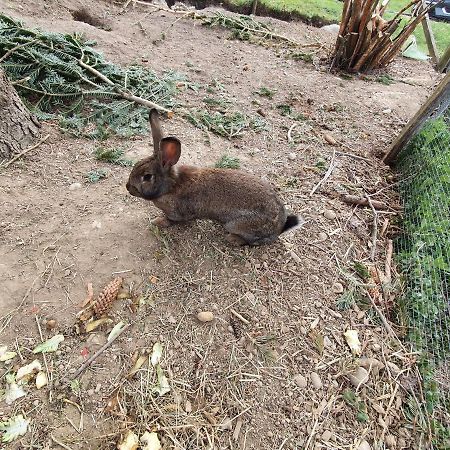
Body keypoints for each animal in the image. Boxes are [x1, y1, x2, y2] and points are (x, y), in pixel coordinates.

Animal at [125, 110, 302, 248]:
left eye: (147, 176)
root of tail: (280, 227)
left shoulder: (178, 213)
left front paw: (157, 222)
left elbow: (172, 220)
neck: (170, 186)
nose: (128, 187)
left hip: (237, 225)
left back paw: (233, 239)